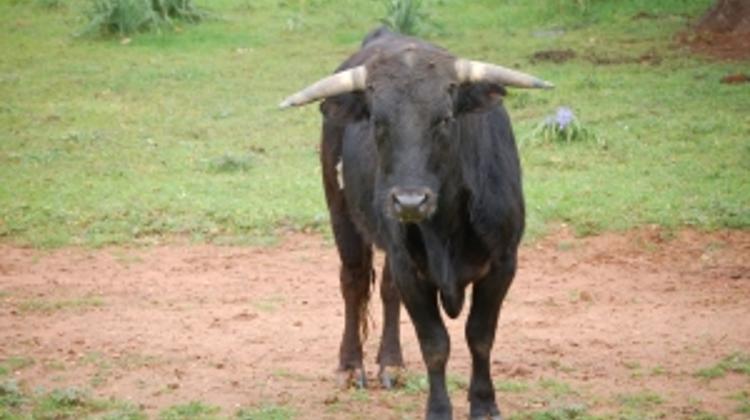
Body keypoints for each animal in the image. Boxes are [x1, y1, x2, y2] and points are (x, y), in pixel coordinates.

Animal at [280, 27, 552, 420]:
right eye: (378, 122)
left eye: (445, 119)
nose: (409, 201)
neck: (448, 225)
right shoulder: (411, 270)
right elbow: (435, 343)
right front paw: (438, 409)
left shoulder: (502, 264)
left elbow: (480, 336)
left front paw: (484, 404)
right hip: (341, 213)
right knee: (354, 282)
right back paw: (351, 366)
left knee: (387, 289)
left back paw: (391, 364)